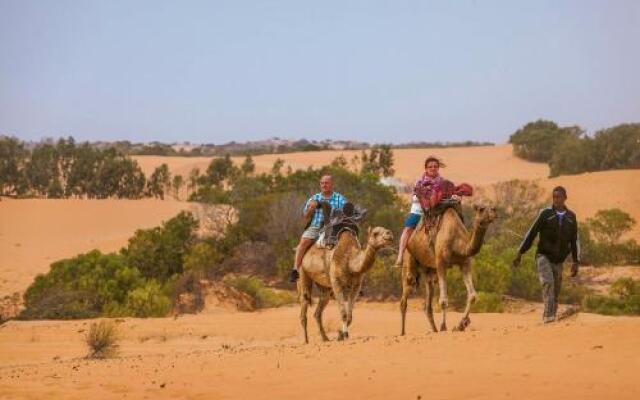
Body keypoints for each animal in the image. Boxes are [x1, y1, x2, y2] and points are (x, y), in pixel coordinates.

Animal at [398, 203, 498, 334]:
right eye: (481, 209)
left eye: (493, 207)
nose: (494, 213)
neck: (458, 243)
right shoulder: (441, 262)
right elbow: (444, 300)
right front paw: (444, 327)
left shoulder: (465, 263)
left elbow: (472, 296)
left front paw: (461, 325)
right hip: (408, 258)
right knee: (405, 293)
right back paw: (402, 333)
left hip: (428, 269)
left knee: (428, 301)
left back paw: (434, 330)